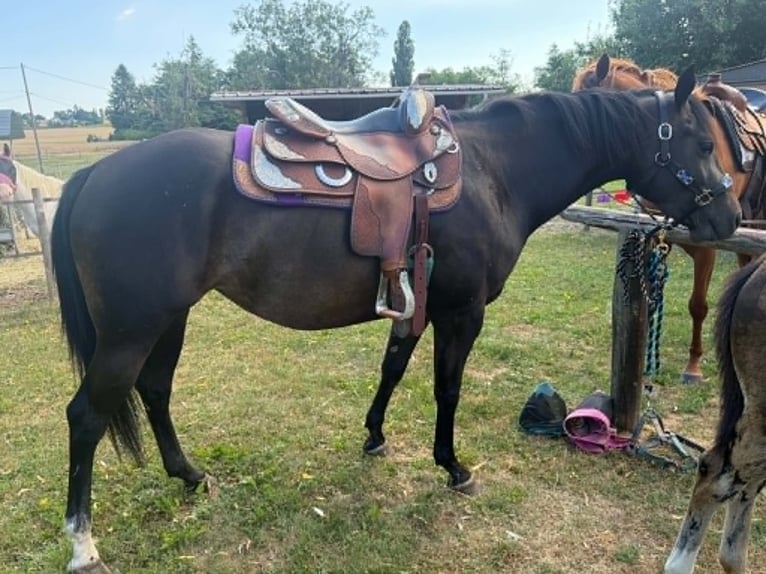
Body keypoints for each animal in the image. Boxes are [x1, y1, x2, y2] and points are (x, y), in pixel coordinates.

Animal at [51, 73, 742, 573]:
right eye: (703, 145)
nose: (731, 218)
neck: (494, 172)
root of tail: (95, 174)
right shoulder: (462, 311)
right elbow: (446, 388)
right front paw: (452, 466)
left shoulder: (416, 300)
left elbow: (392, 366)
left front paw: (375, 436)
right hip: (131, 331)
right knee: (87, 416)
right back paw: (83, 544)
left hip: (168, 320)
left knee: (155, 391)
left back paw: (190, 476)